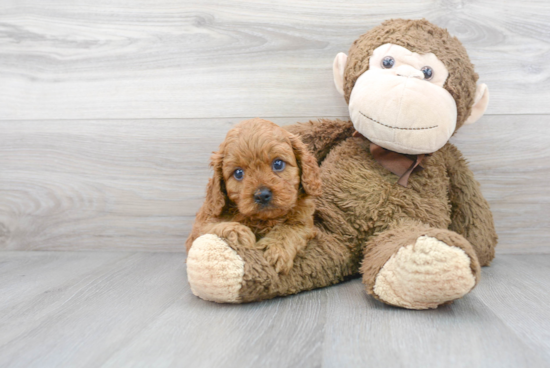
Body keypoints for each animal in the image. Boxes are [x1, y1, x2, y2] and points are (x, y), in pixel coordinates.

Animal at [187, 118, 324, 274]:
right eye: (238, 173)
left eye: (278, 164)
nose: (262, 195)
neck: (263, 220)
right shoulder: (198, 229)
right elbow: (208, 229)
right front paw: (238, 233)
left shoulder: (304, 222)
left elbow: (290, 230)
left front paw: (275, 249)